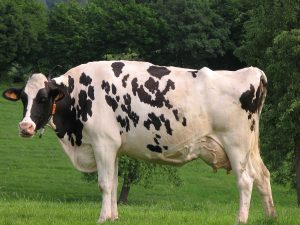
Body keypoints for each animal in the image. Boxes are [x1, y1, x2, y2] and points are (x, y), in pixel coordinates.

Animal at [2, 60, 276, 224]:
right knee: (263, 175)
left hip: (236, 144)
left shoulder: (102, 143)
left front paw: (101, 218)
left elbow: (104, 184)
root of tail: (252, 72)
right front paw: (113, 217)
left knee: (246, 180)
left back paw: (241, 219)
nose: (25, 127)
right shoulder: (113, 147)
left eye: (43, 98)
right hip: (250, 147)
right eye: (23, 98)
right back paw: (271, 216)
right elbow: (113, 183)